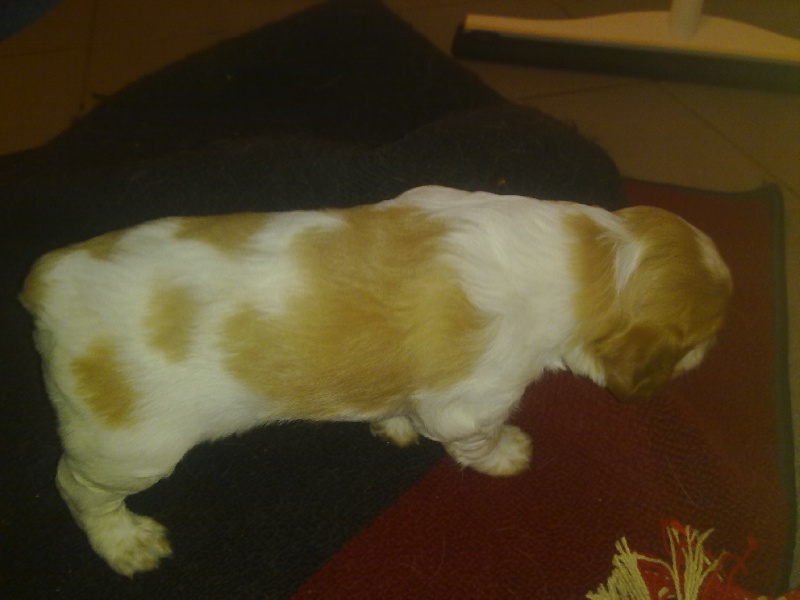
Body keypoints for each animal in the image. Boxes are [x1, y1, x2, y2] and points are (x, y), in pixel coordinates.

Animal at [20, 186, 732, 576]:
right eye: (704, 337)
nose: (714, 353)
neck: (598, 256)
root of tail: (45, 283)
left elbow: (395, 404)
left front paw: (390, 424)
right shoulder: (470, 406)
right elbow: (480, 442)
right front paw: (509, 456)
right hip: (131, 451)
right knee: (75, 488)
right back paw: (125, 541)